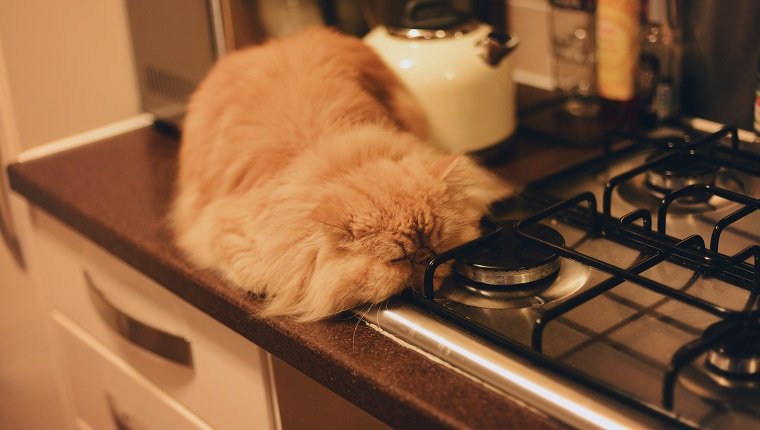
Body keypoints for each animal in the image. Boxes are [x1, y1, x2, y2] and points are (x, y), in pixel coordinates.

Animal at [172, 27, 510, 320]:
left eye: (439, 245)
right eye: (398, 259)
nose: (424, 259)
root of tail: (271, 44)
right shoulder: (222, 226)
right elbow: (255, 270)